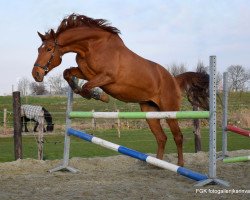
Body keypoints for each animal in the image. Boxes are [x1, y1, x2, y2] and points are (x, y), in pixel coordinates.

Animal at [31, 12, 209, 166]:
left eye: (48, 49)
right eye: (38, 49)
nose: (36, 74)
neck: (93, 46)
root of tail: (173, 79)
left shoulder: (107, 77)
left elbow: (87, 86)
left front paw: (99, 96)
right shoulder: (85, 72)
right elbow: (68, 73)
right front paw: (77, 88)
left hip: (169, 110)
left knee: (178, 136)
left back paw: (180, 164)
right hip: (150, 112)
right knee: (161, 137)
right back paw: (157, 164)